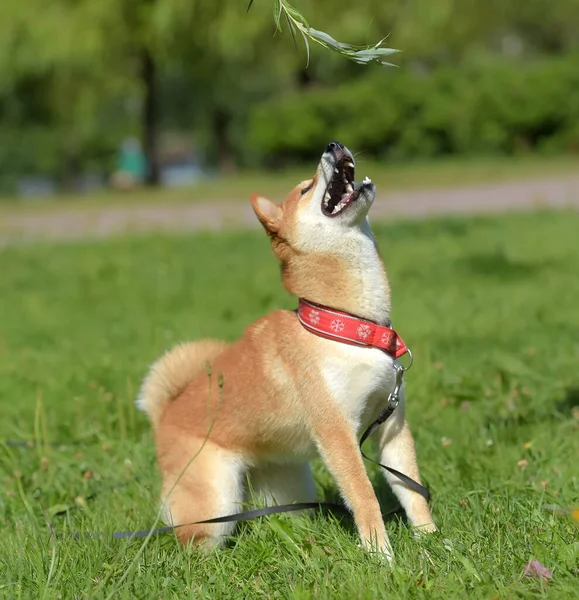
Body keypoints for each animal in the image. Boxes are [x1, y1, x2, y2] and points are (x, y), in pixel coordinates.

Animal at [139, 142, 436, 564]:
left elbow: (411, 489)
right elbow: (364, 496)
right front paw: (382, 556)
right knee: (194, 541)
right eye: (305, 188)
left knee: (282, 518)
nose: (333, 145)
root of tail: (166, 414)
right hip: (215, 499)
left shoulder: (391, 422)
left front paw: (432, 540)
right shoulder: (336, 432)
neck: (346, 325)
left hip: (289, 488)